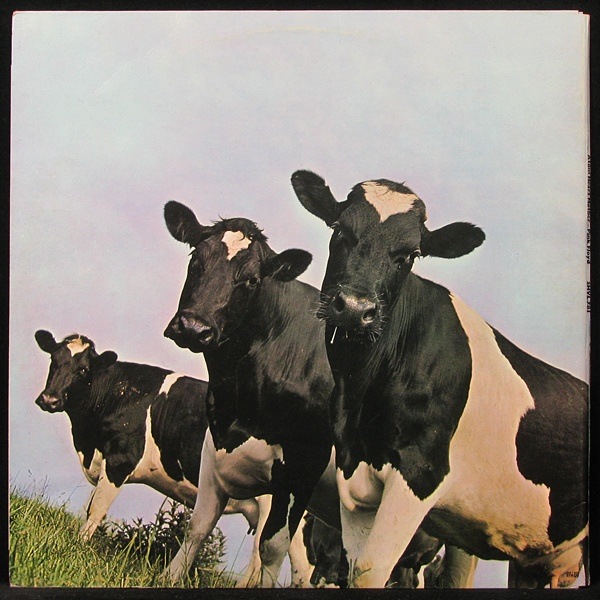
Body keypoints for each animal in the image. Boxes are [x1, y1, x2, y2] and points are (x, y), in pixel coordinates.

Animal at [33, 329, 313, 585]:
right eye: (54, 360)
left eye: (83, 370)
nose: (49, 398)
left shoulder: (120, 461)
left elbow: (96, 509)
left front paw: (78, 545)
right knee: (301, 566)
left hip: (275, 505)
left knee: (262, 557)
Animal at [291, 170, 588, 588]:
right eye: (339, 230)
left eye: (411, 255)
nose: (354, 308)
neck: (358, 392)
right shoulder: (352, 471)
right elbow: (355, 567)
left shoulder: (419, 471)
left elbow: (371, 569)